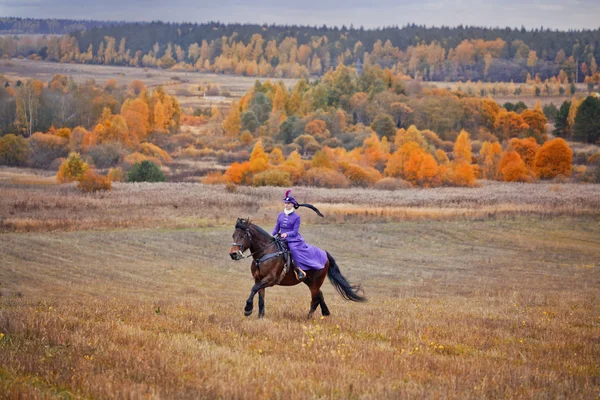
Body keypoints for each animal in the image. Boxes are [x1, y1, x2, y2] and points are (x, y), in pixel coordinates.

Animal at [230, 219, 366, 318]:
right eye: (233, 235)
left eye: (242, 235)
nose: (233, 254)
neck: (265, 254)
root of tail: (325, 254)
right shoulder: (259, 279)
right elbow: (260, 298)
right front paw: (260, 317)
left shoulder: (269, 279)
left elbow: (254, 289)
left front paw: (247, 309)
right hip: (309, 281)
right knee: (320, 295)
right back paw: (325, 313)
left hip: (315, 282)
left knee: (315, 299)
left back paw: (308, 318)